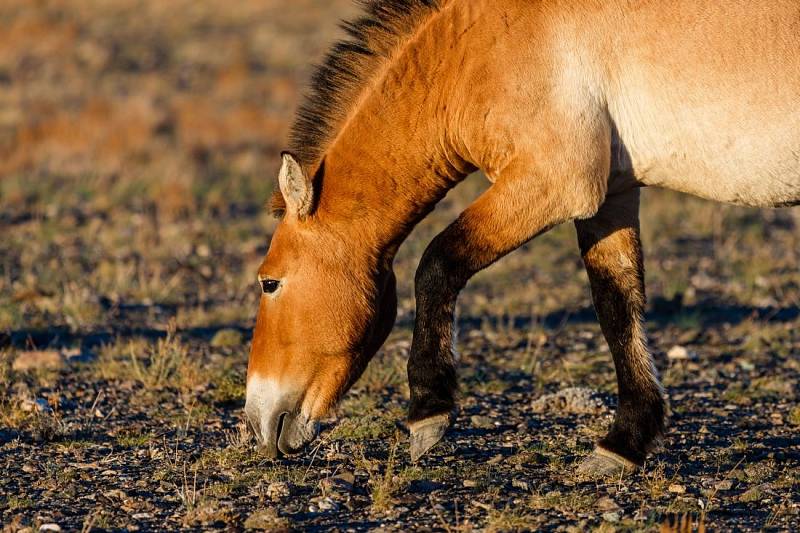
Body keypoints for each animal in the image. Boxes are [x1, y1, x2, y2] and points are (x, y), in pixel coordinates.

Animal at [245, 0, 800, 476]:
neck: (478, 47)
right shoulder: (611, 196)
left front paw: (428, 413)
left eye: (270, 283)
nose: (256, 421)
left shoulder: (552, 183)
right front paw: (623, 444)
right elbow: (616, 308)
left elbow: (438, 264)